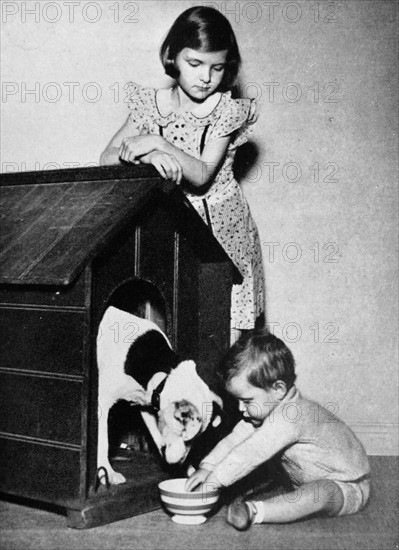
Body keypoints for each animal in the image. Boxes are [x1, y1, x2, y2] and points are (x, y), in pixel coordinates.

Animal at [96, 306, 222, 488]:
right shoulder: (101, 404)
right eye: (185, 437)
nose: (179, 463)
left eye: (194, 440)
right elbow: (102, 441)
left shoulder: (146, 405)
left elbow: (156, 434)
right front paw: (107, 472)